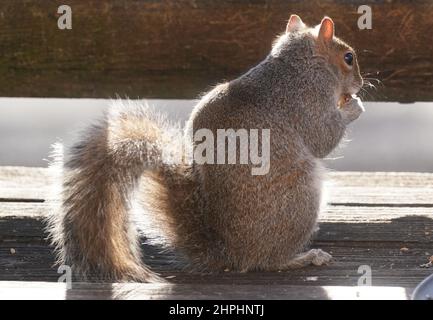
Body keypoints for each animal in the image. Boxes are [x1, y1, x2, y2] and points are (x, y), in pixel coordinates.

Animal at [46, 15, 364, 282]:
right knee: (268, 261)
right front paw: (354, 107)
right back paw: (304, 257)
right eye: (348, 57)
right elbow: (323, 137)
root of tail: (230, 254)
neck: (298, 62)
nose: (361, 83)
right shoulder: (307, 101)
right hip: (301, 198)